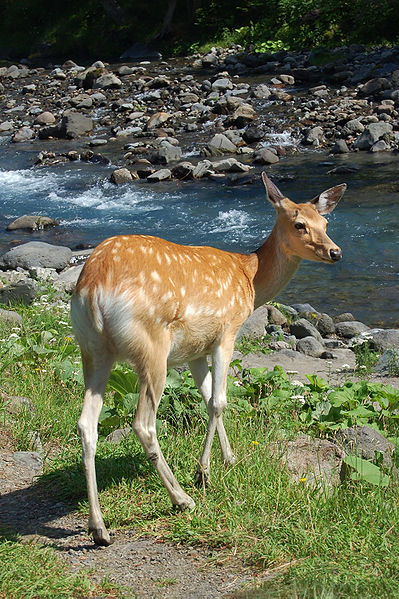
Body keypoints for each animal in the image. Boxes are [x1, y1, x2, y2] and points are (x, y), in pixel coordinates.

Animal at [70, 171, 346, 548]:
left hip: (92, 349)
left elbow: (205, 398)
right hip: (151, 348)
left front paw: (228, 458)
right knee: (143, 424)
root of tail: (94, 287)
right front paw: (204, 471)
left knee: (86, 423)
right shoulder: (227, 332)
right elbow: (219, 401)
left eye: (326, 222)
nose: (335, 251)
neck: (249, 280)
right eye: (299, 223)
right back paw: (182, 498)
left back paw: (99, 528)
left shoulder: (195, 350)